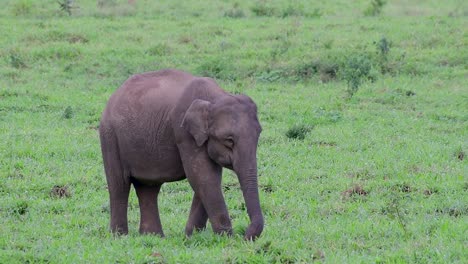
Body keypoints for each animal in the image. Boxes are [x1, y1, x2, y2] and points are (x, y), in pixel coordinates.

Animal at [99, 69, 266, 240]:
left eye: (258, 134)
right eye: (229, 140)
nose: (245, 234)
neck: (215, 97)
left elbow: (208, 178)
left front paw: (192, 235)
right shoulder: (184, 132)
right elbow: (203, 176)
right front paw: (225, 238)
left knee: (148, 187)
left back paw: (153, 236)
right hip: (110, 136)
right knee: (119, 185)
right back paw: (119, 236)